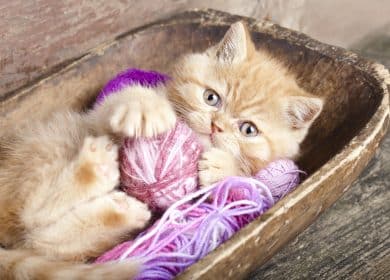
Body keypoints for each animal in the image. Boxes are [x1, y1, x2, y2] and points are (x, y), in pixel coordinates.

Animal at [0, 22, 322, 280]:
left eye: (248, 129)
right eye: (211, 98)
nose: (216, 126)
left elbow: (248, 183)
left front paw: (224, 167)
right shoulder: (97, 116)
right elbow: (120, 102)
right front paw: (145, 107)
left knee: (40, 240)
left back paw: (118, 207)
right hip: (51, 142)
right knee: (32, 215)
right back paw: (97, 171)